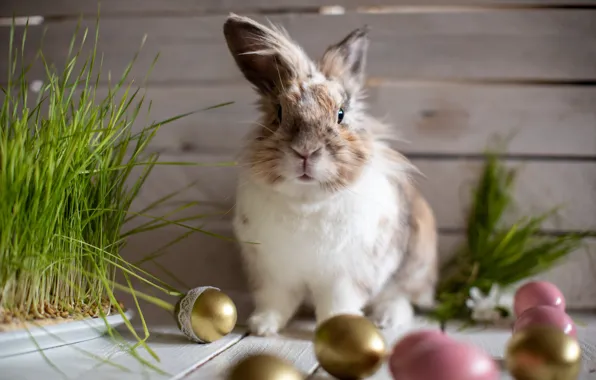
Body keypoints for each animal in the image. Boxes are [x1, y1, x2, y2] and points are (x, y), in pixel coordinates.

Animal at [224, 12, 438, 336]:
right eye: (279, 113)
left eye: (340, 114)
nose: (305, 151)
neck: (306, 201)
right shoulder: (273, 274)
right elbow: (275, 301)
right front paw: (262, 327)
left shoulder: (347, 277)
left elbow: (338, 303)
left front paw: (340, 328)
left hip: (415, 265)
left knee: (400, 296)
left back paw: (388, 319)